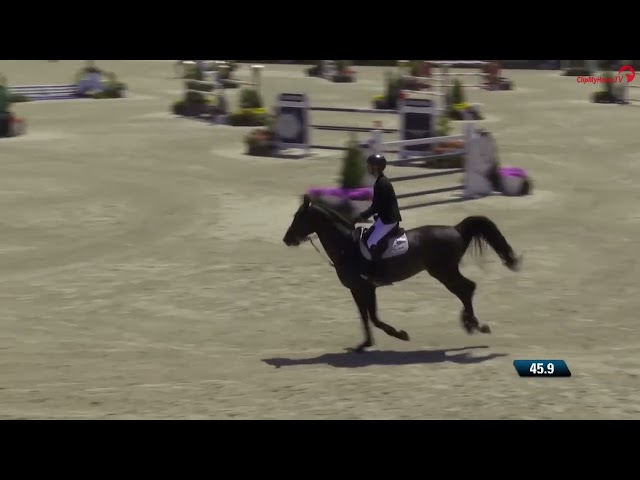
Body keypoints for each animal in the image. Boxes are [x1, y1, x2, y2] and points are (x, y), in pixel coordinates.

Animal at [283, 195, 522, 353]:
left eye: (298, 218)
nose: (286, 239)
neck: (346, 246)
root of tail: (456, 229)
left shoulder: (364, 287)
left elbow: (374, 318)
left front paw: (400, 335)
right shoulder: (359, 289)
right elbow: (366, 317)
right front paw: (364, 344)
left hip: (443, 271)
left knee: (467, 288)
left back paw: (474, 324)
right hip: (444, 271)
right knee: (466, 290)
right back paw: (472, 324)